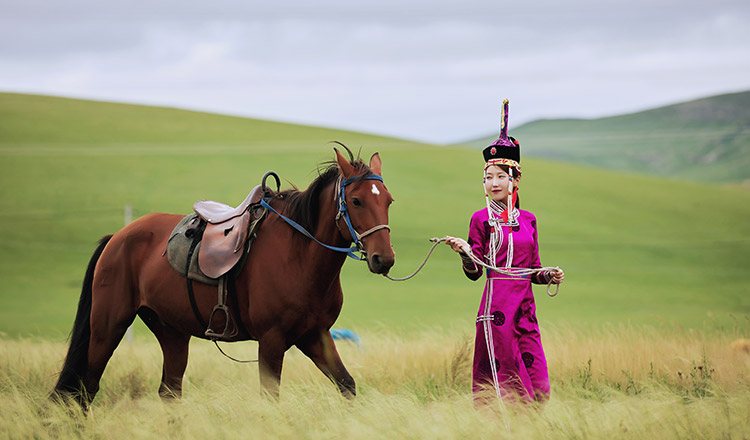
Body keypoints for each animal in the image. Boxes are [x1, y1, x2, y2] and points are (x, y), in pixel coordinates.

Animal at [50, 146, 396, 408]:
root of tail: (117, 237)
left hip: (172, 333)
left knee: (169, 392)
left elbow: (347, 385)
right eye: (356, 200)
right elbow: (270, 399)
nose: (384, 259)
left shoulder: (315, 336)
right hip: (107, 327)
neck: (299, 256)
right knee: (86, 390)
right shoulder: (271, 341)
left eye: (388, 200)